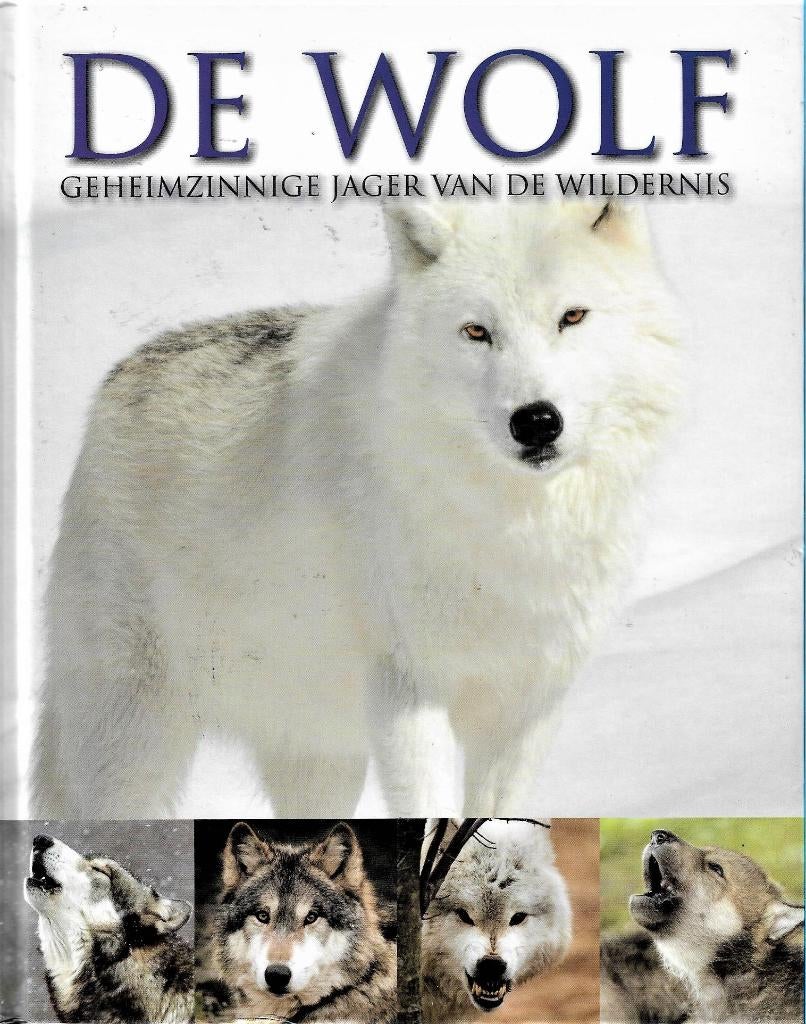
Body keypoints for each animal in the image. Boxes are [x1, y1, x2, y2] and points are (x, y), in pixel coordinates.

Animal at [33, 199, 681, 818]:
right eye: (476, 331)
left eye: (572, 316)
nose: (536, 421)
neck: (515, 525)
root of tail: (117, 376)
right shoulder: (409, 689)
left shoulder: (529, 705)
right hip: (134, 739)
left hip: (319, 755)